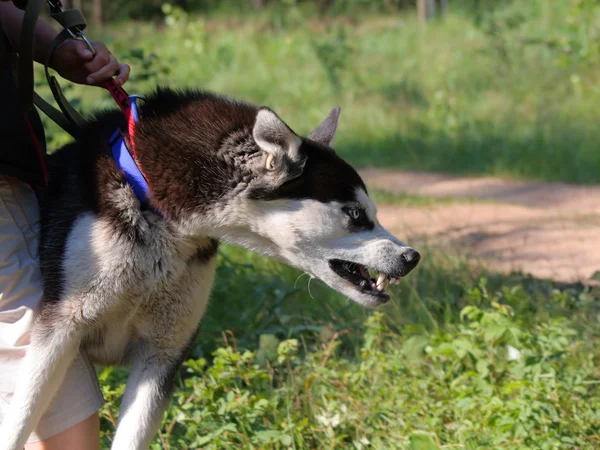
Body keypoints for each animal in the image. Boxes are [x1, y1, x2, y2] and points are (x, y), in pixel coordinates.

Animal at [0, 89, 422, 450]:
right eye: (355, 214)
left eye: (372, 212)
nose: (412, 257)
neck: (157, 211)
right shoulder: (58, 333)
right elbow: (18, 422)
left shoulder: (163, 353)